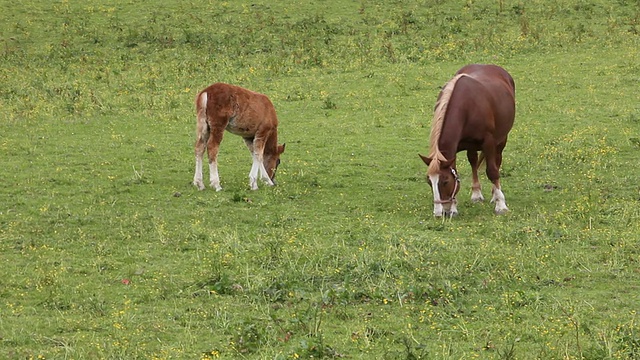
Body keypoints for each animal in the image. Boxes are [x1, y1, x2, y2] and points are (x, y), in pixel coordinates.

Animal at [420, 64, 516, 217]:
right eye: (429, 182)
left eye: (445, 181)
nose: (440, 213)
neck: (467, 106)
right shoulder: (454, 151)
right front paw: (454, 208)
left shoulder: (489, 142)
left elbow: (492, 171)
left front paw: (501, 205)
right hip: (471, 146)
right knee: (473, 161)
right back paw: (476, 194)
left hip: (501, 140)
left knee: (497, 160)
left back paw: (495, 195)